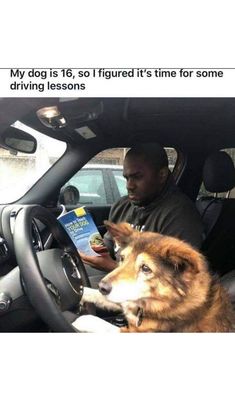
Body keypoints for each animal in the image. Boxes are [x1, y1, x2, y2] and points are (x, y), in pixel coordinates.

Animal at [80, 222, 235, 332]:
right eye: (122, 258)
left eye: (145, 268)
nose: (102, 287)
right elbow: (95, 294)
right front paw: (81, 292)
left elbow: (98, 323)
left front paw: (82, 319)